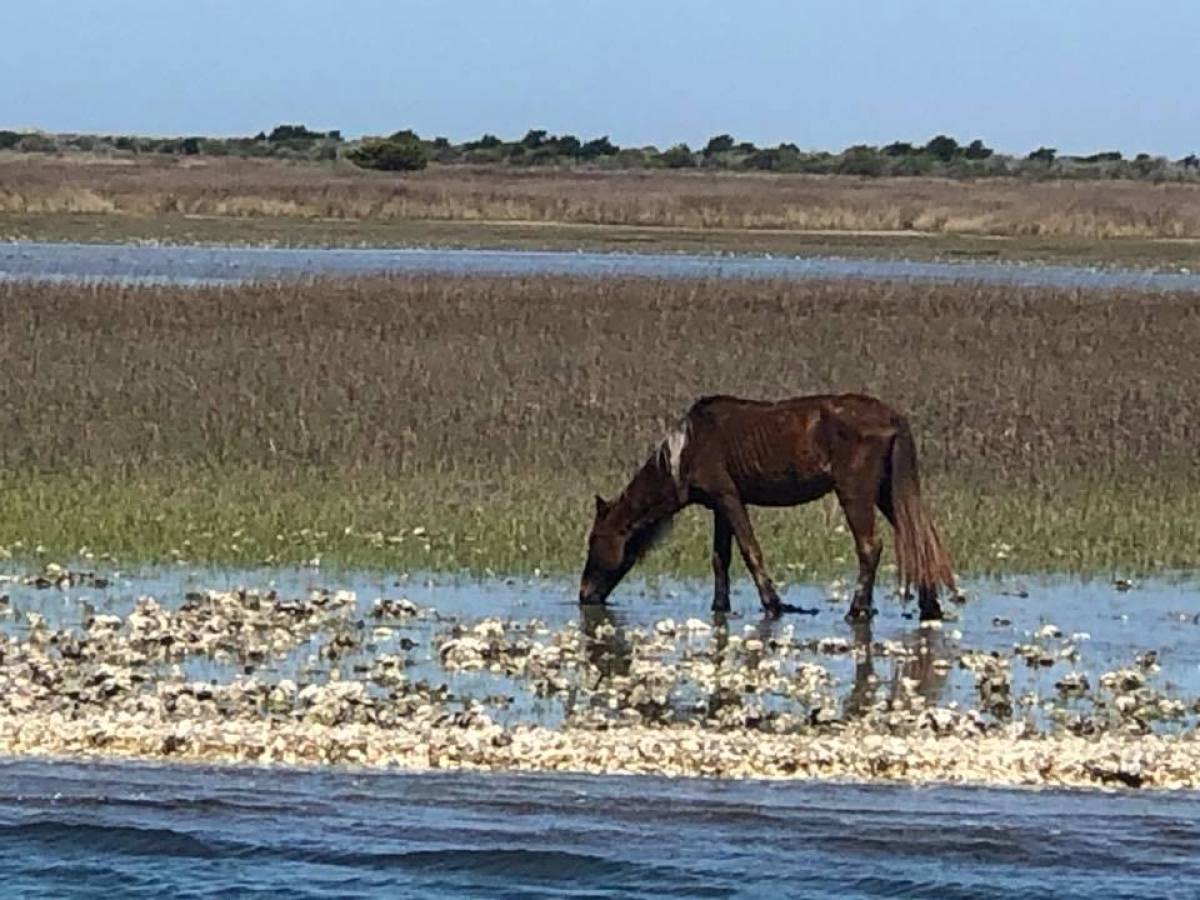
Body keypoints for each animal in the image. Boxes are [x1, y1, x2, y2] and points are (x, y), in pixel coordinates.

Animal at [578, 393, 955, 619]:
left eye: (594, 539)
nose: (584, 595)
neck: (685, 451)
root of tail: (893, 418)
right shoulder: (719, 507)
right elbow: (720, 559)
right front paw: (720, 606)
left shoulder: (728, 497)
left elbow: (750, 550)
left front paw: (774, 604)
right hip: (886, 492)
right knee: (920, 539)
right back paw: (930, 605)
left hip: (855, 493)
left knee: (870, 547)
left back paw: (856, 609)